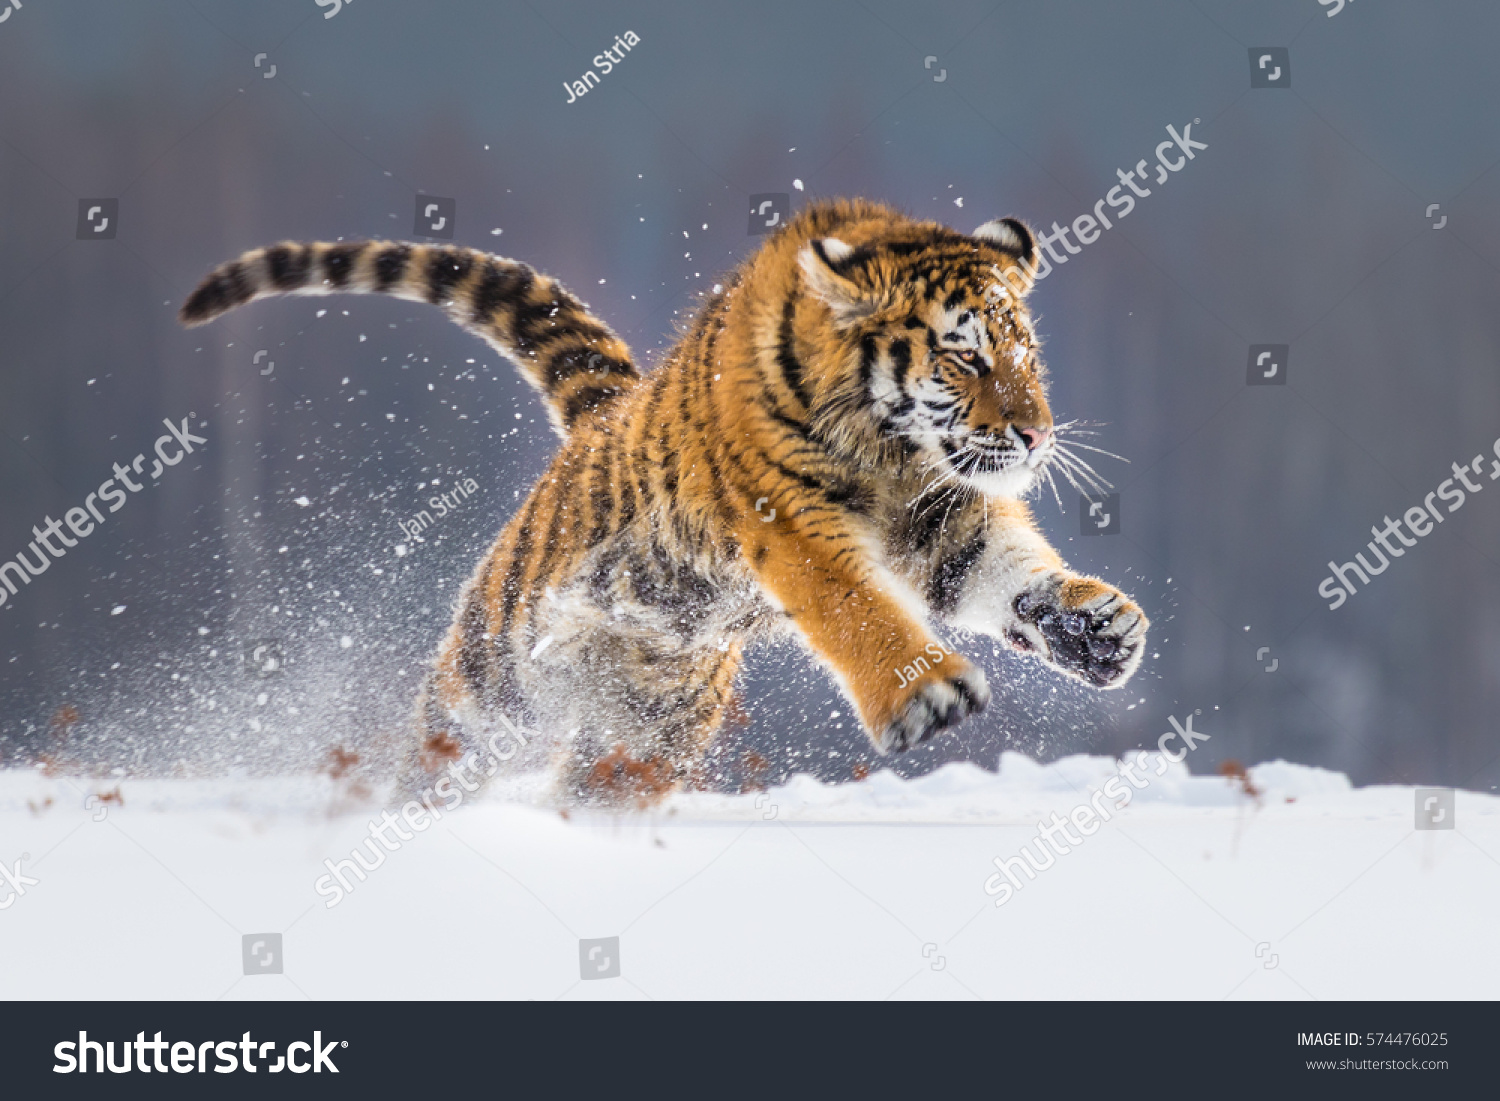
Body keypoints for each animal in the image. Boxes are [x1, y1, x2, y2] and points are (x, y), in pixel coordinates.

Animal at [180, 198, 1148, 807]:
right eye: (965, 357)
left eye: (1026, 354)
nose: (1036, 434)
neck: (891, 449)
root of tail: (601, 414)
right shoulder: (789, 520)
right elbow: (857, 606)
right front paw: (928, 694)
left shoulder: (944, 513)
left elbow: (1007, 572)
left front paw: (1097, 627)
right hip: (495, 675)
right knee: (441, 749)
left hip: (646, 731)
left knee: (596, 786)